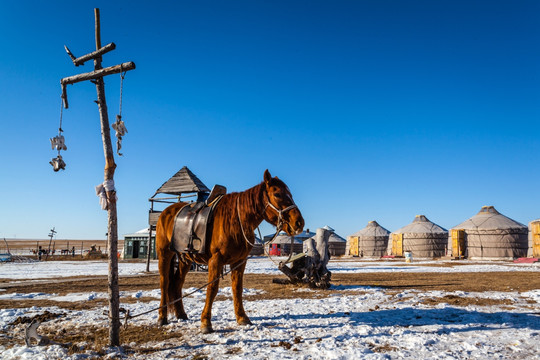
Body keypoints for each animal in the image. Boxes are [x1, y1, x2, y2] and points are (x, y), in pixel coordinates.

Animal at [155, 170, 304, 334]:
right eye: (277, 194)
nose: (299, 222)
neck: (237, 221)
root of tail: (166, 212)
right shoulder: (216, 260)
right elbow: (212, 289)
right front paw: (206, 322)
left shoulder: (239, 261)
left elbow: (237, 288)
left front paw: (242, 318)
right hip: (164, 254)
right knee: (164, 283)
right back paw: (162, 317)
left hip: (185, 259)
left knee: (177, 283)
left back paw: (181, 314)